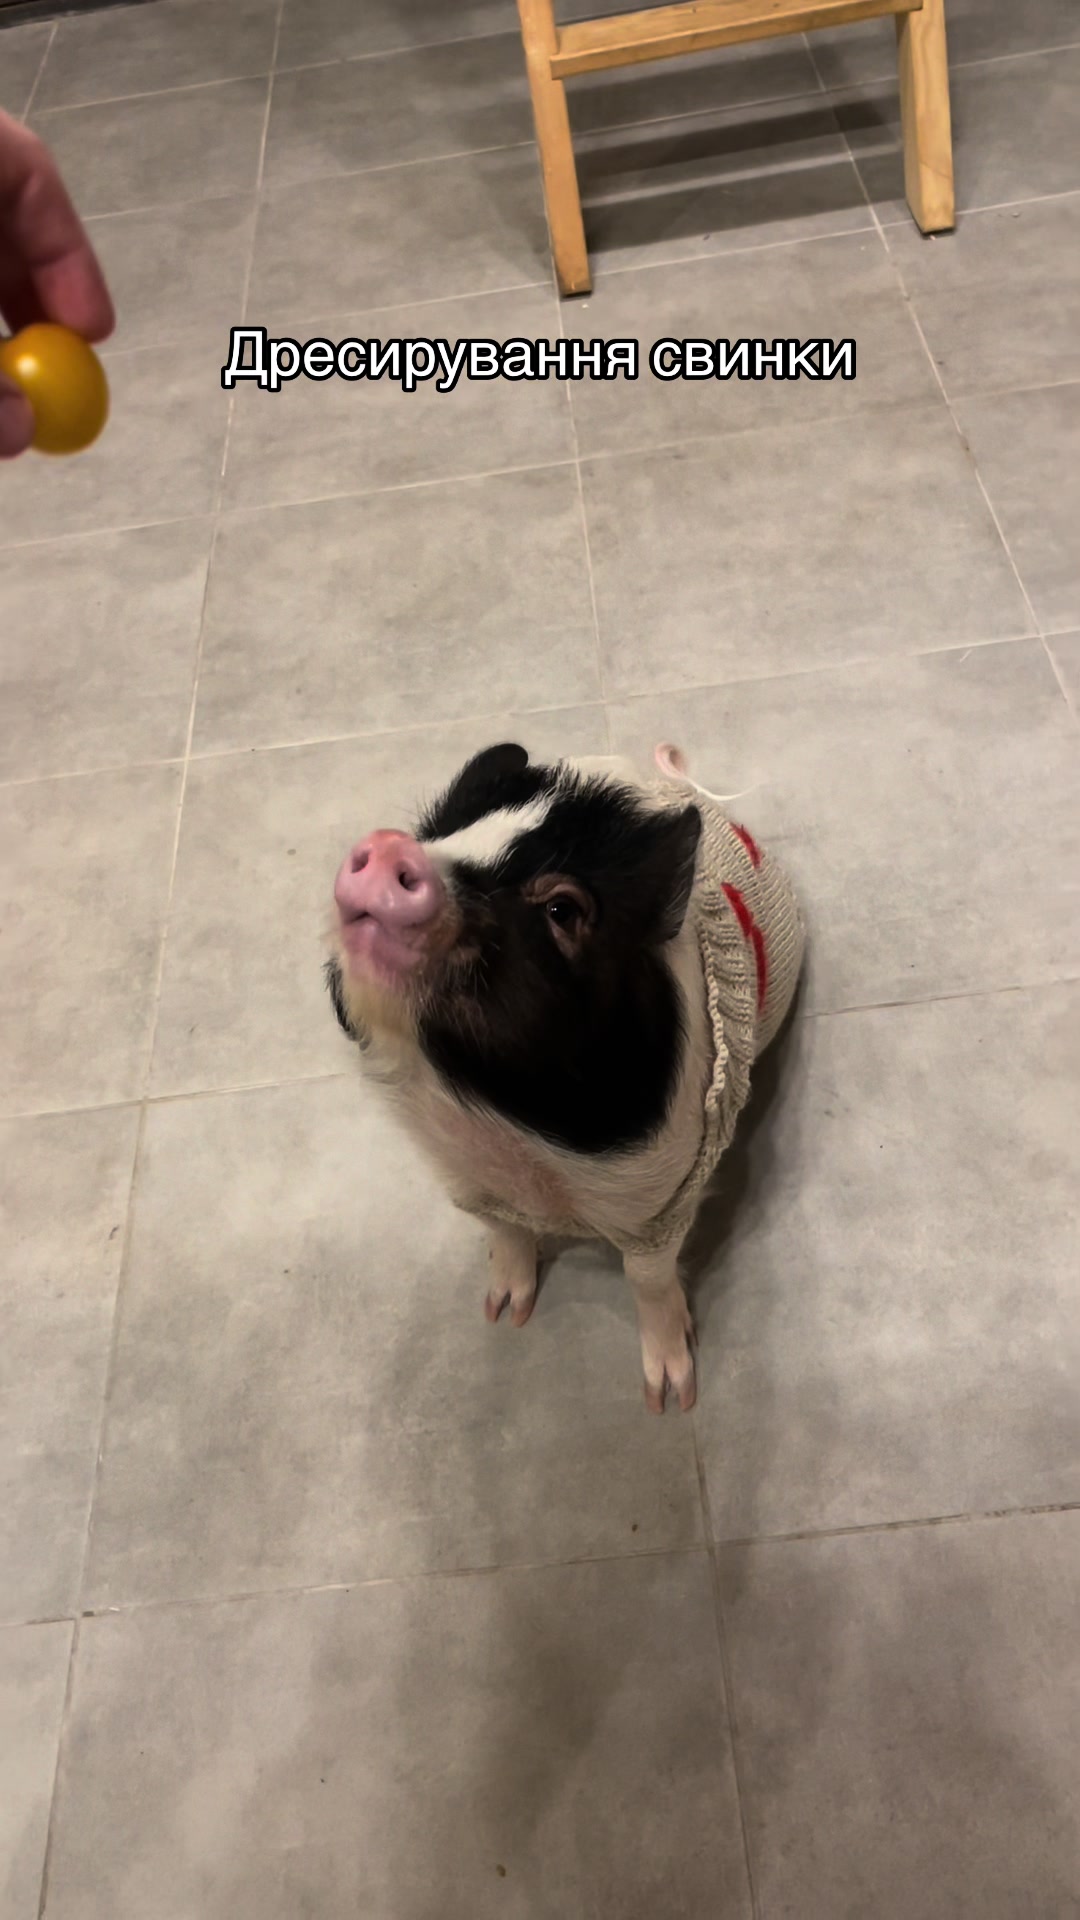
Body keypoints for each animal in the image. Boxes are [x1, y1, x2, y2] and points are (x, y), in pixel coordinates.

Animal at [326, 742, 804, 1412]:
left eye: (562, 908)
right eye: (440, 834)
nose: (391, 845)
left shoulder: (662, 1192)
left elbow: (645, 1276)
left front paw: (670, 1397)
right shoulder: (461, 1176)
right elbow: (501, 1229)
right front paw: (503, 1314)